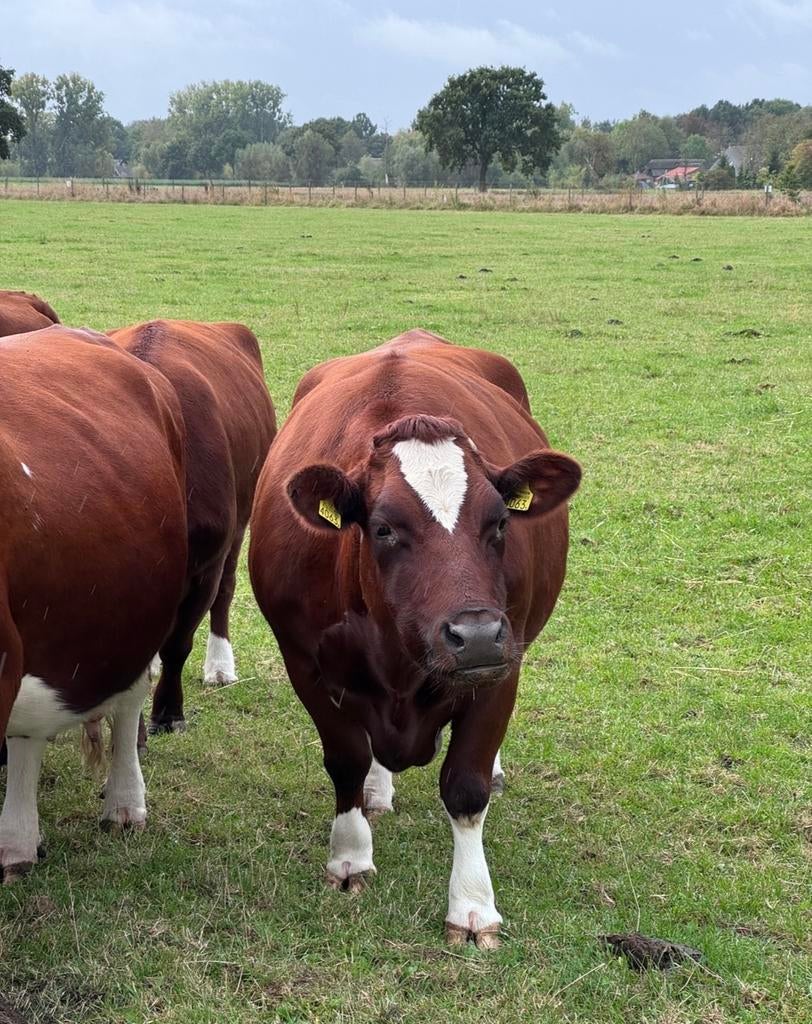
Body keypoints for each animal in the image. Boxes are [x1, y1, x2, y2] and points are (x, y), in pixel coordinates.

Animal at [107, 320, 276, 740]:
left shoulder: (205, 565)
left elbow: (179, 644)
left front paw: (168, 712)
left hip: (241, 517)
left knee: (227, 589)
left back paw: (219, 666)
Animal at [249, 328, 581, 947]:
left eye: (501, 522)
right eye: (383, 529)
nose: (476, 633)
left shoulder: (502, 666)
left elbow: (466, 787)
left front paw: (472, 904)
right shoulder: (303, 662)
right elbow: (347, 757)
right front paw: (350, 857)